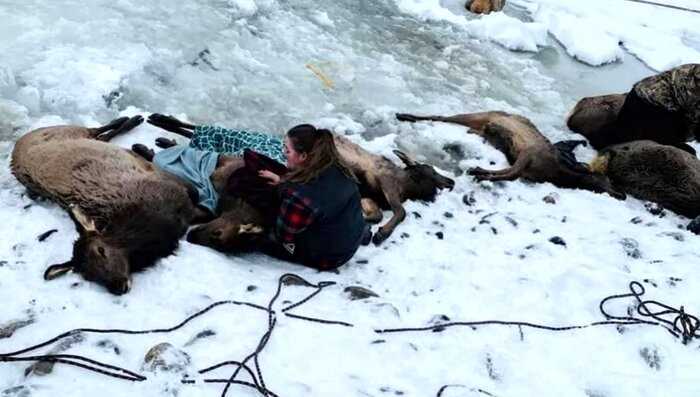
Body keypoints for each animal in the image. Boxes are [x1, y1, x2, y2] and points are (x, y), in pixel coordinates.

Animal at [10, 116, 197, 292]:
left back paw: (131, 119)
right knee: (103, 136)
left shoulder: (174, 185)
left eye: (101, 250)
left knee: (97, 130)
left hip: (68, 130)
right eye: (87, 275)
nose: (118, 286)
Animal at [145, 113, 456, 246]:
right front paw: (381, 233)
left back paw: (161, 131)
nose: (450, 182)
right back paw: (160, 122)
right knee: (203, 129)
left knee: (202, 134)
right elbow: (400, 212)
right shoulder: (387, 182)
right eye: (431, 171)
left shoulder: (375, 194)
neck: (405, 183)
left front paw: (375, 228)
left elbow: (378, 212)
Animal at [396, 110, 628, 198]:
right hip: (478, 114)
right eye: (608, 179)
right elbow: (509, 173)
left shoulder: (526, 168)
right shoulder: (527, 154)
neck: (558, 173)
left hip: (478, 123)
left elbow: (510, 175)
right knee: (441, 116)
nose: (623, 194)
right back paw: (404, 115)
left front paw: (480, 173)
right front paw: (478, 171)